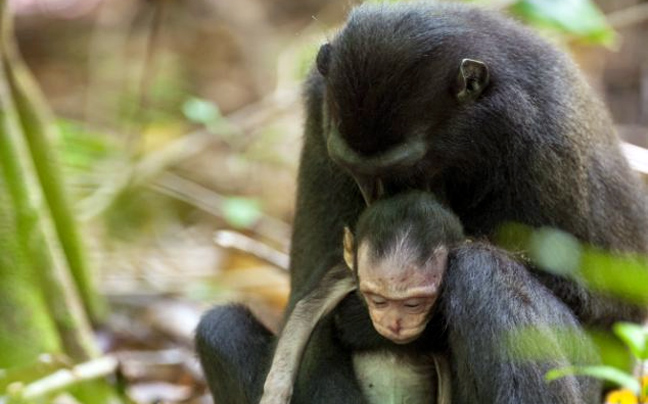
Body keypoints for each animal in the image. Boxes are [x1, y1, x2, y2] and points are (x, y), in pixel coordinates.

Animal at [260, 193, 464, 404]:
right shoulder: (346, 275)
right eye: (378, 301)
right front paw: (276, 391)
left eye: (413, 305)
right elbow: (306, 310)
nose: (395, 324)